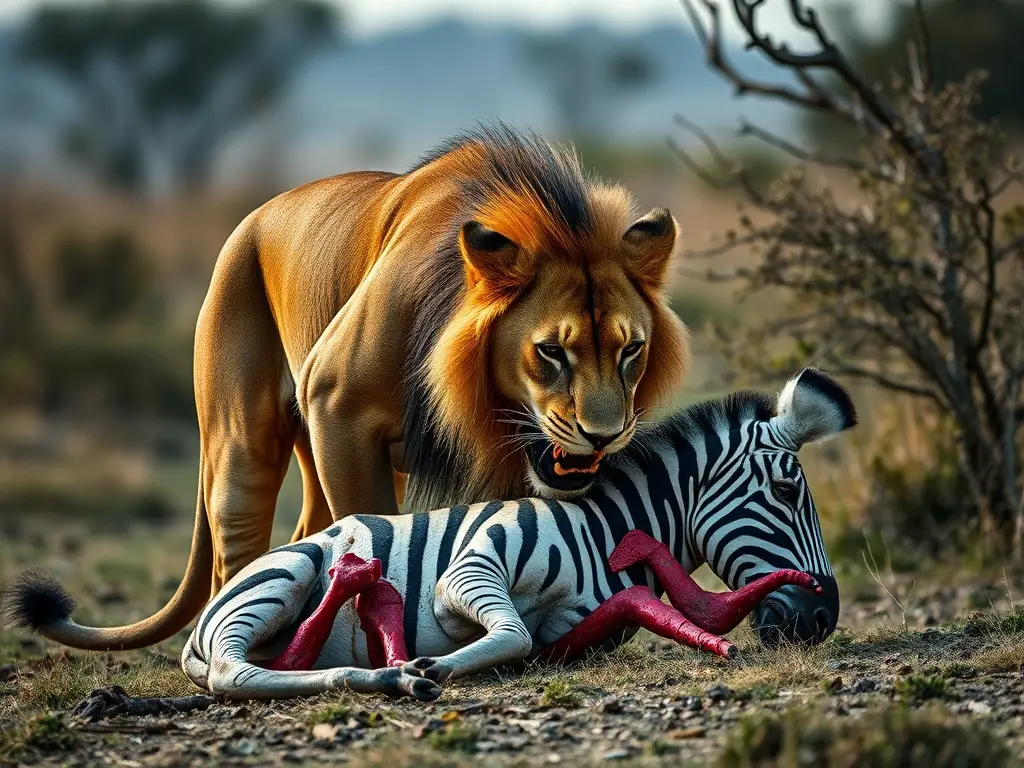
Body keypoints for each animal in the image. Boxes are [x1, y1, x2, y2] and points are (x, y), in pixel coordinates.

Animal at [3, 368, 855, 701]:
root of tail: (208, 613)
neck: (604, 529)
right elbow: (509, 633)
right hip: (281, 578)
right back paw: (385, 656)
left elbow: (550, 636)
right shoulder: (468, 571)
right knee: (233, 673)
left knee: (279, 664)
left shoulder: (579, 630)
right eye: (788, 490)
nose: (822, 618)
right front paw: (435, 662)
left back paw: (376, 658)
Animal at [26, 125, 689, 650]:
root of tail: (250, 220)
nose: (603, 436)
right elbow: (370, 535)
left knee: (302, 535)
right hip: (242, 441)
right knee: (235, 555)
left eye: (631, 350)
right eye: (551, 351)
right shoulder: (336, 404)